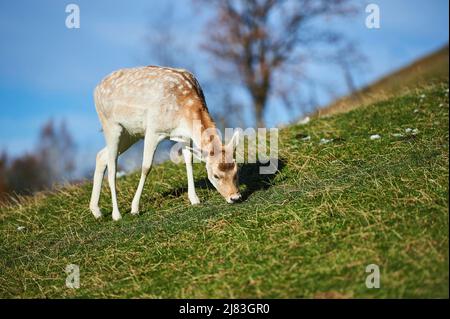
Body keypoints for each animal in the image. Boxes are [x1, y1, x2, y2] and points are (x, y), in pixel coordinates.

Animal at [89, 66, 241, 221]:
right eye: (216, 175)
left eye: (237, 171)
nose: (235, 197)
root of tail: (96, 89)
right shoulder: (153, 130)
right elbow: (146, 167)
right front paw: (134, 208)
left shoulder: (184, 136)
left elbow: (189, 161)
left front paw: (194, 199)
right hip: (111, 125)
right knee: (112, 167)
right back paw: (116, 214)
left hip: (130, 133)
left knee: (101, 155)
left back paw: (96, 211)